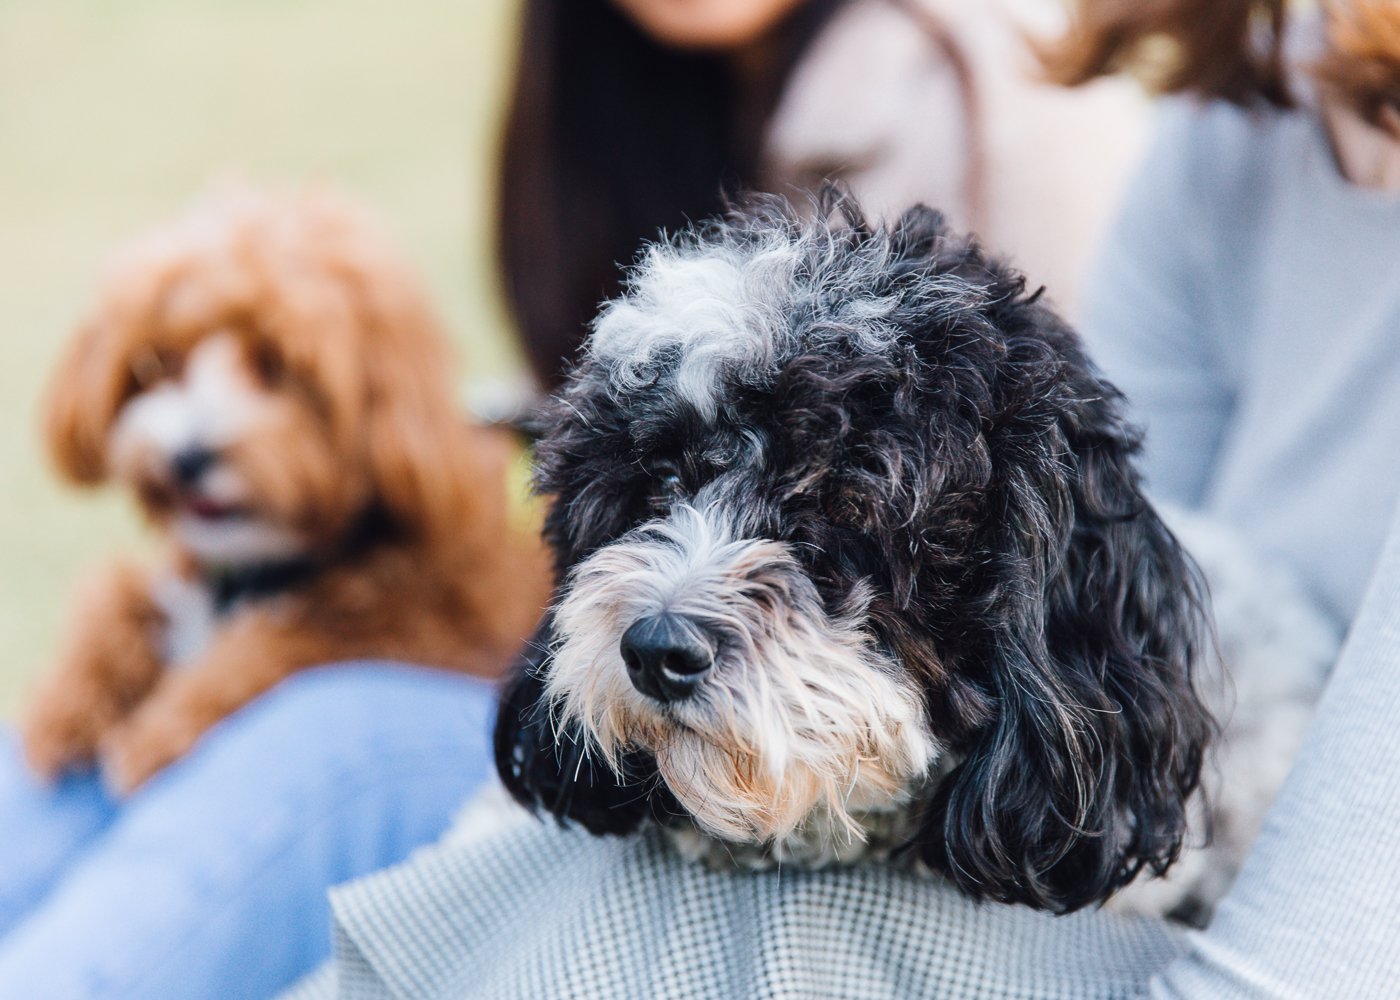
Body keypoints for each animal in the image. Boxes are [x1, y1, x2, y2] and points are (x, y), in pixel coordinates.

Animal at [25, 184, 551, 795]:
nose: (187, 457)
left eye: (279, 369)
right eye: (159, 363)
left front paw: (158, 732)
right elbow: (114, 599)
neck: (254, 574)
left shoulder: (428, 631)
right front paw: (64, 706)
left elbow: (278, 647)